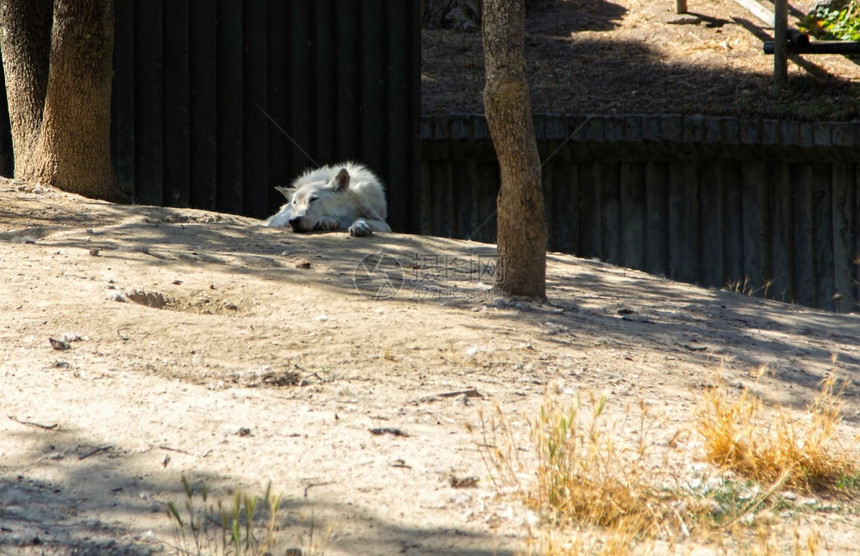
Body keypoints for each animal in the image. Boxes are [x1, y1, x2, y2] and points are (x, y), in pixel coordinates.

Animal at [264, 163, 392, 237]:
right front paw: (328, 222)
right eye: (295, 203)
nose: (293, 220)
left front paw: (359, 226)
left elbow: (360, 218)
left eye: (313, 199)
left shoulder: (384, 224)